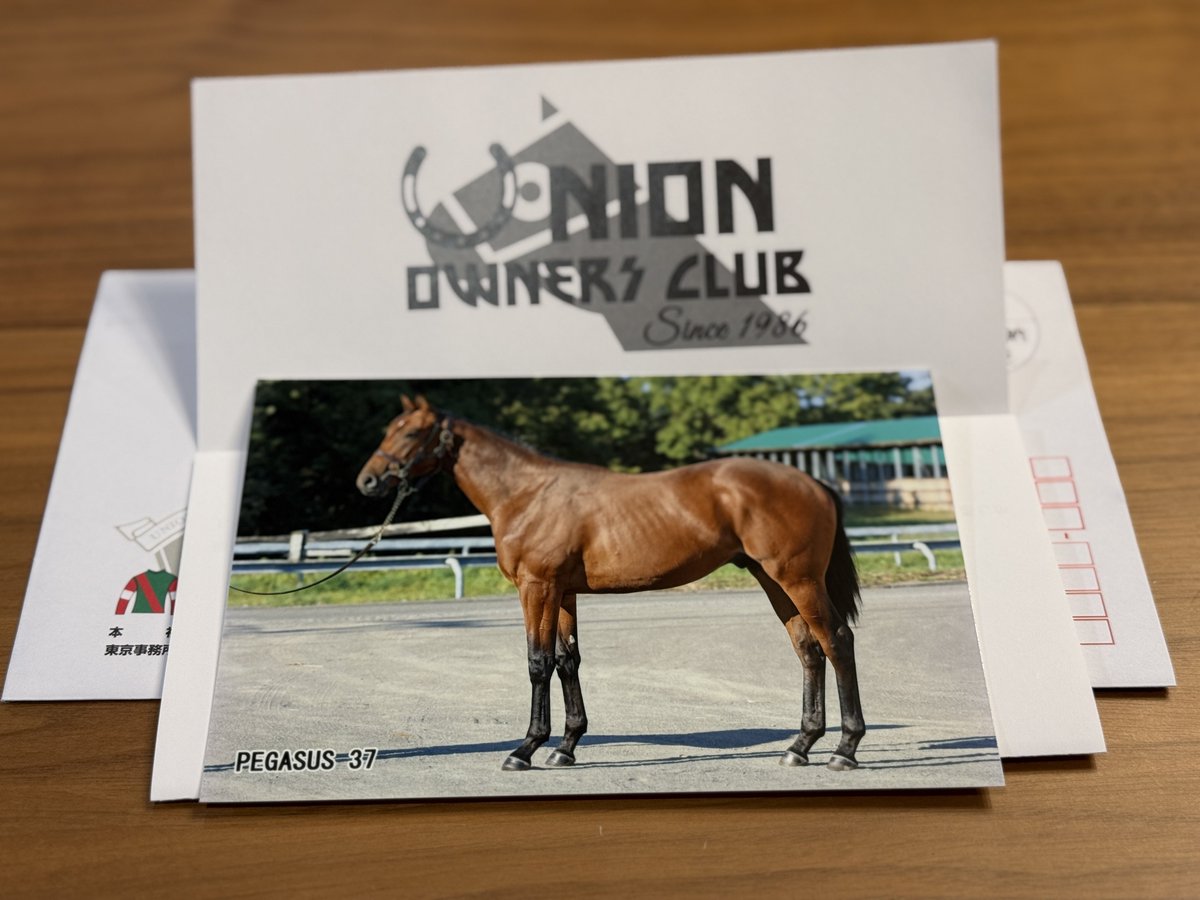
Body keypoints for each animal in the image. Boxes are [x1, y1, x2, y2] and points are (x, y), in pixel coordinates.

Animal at [355, 395, 865, 772]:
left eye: (410, 432)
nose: (368, 482)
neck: (528, 495)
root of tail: (814, 483)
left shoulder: (537, 587)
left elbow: (538, 662)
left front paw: (525, 750)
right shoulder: (563, 592)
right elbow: (567, 661)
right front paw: (565, 747)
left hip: (798, 579)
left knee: (837, 641)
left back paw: (844, 749)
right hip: (774, 581)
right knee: (808, 649)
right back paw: (800, 746)